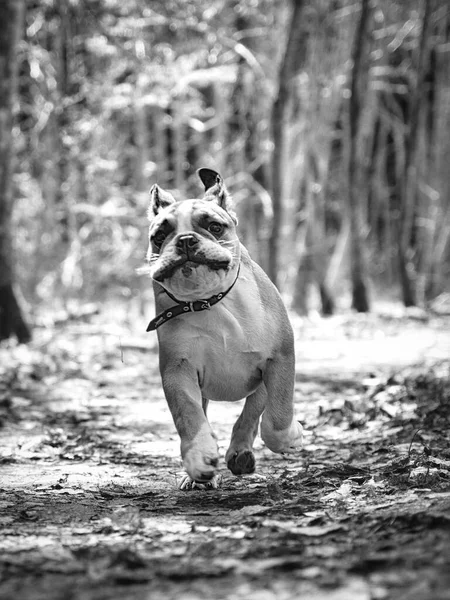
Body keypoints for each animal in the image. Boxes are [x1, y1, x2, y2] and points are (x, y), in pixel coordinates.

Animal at [146, 168, 304, 488]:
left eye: (215, 227)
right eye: (159, 237)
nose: (185, 240)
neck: (210, 300)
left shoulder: (279, 358)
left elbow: (277, 417)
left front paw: (290, 434)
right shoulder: (178, 370)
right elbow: (189, 416)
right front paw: (199, 458)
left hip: (263, 380)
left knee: (253, 413)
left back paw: (241, 452)